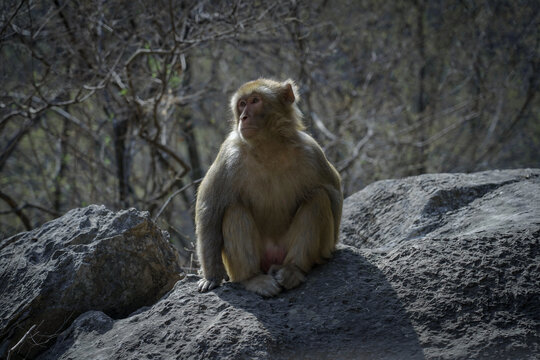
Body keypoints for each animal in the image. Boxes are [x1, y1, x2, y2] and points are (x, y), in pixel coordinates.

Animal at [196, 78, 344, 296]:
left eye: (255, 101)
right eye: (241, 104)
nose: (243, 117)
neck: (268, 147)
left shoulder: (312, 151)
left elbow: (333, 194)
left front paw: (327, 253)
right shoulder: (228, 156)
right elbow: (210, 210)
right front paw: (212, 277)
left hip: (284, 249)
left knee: (318, 198)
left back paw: (292, 269)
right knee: (234, 210)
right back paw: (253, 278)